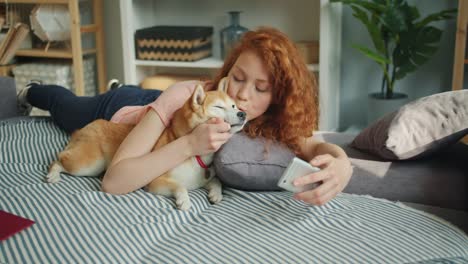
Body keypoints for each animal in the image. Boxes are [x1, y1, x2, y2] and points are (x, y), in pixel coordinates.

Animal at [45, 77, 247, 210]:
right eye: (219, 107)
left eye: (234, 106)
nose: (242, 113)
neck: (197, 156)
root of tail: (82, 129)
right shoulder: (156, 182)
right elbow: (180, 186)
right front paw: (184, 199)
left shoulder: (202, 178)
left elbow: (216, 181)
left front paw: (216, 193)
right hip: (89, 165)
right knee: (59, 159)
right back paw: (53, 175)